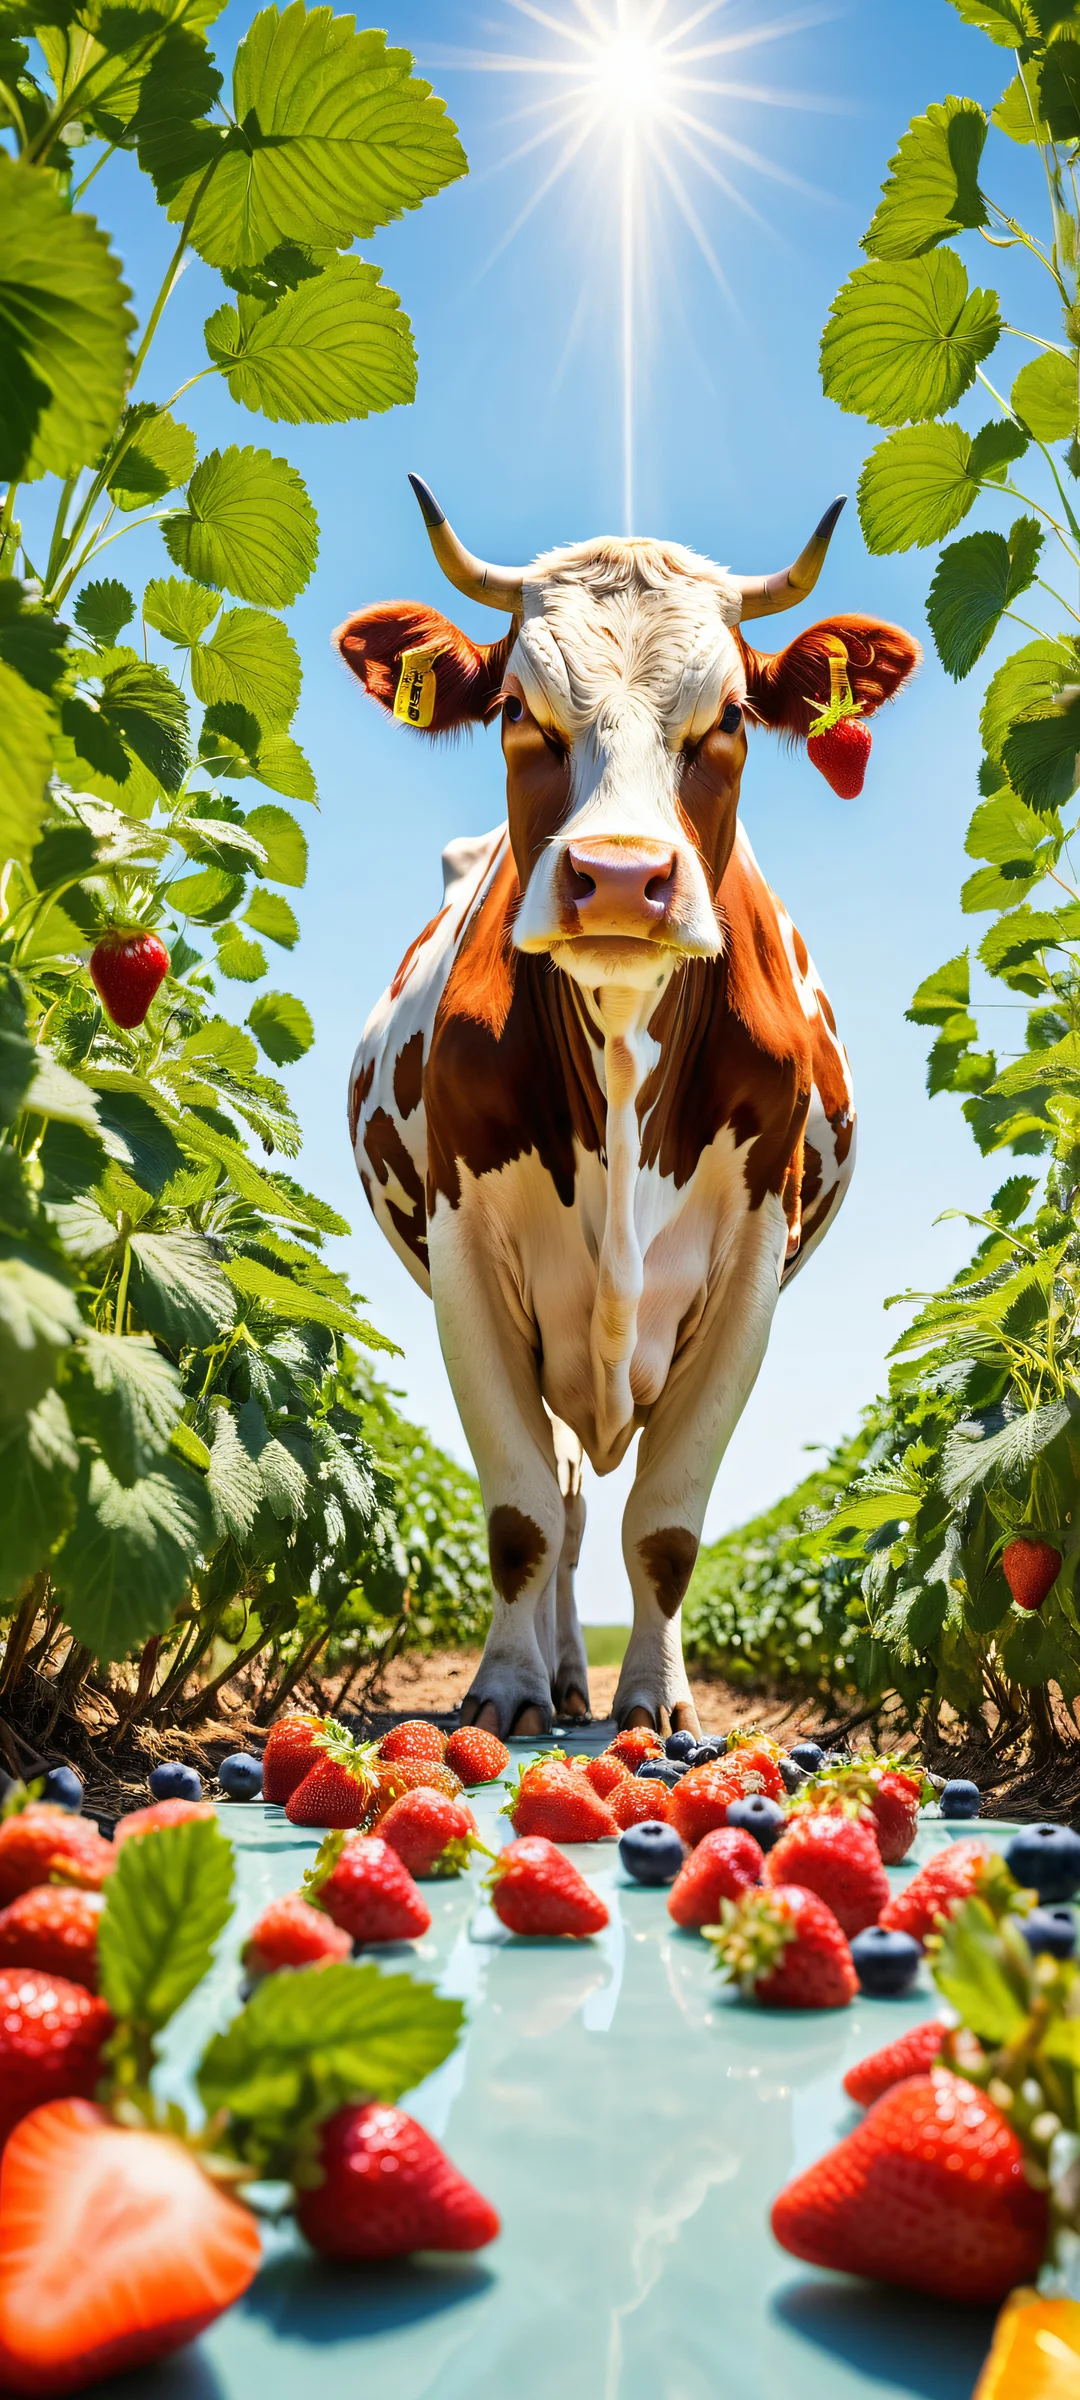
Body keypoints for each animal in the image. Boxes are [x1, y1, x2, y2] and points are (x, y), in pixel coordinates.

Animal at [340, 478, 919, 1739]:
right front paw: (505, 1691)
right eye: (518, 707)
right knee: (561, 1503)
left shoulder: (749, 1267)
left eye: (733, 715)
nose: (617, 877)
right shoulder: (467, 1256)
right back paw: (559, 1676)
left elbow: (664, 1527)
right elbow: (519, 1516)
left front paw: (658, 1704)